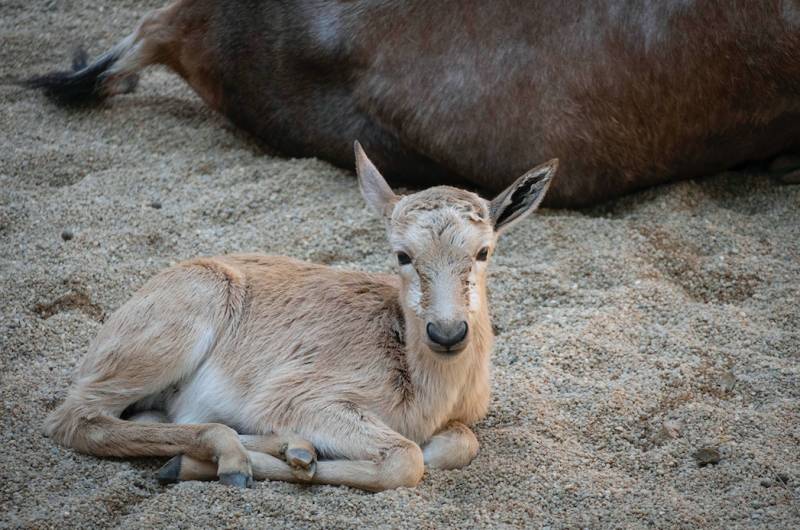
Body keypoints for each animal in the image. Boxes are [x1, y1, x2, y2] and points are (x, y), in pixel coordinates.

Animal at [43, 142, 556, 488]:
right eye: (402, 254)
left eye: (483, 250)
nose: (447, 332)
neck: (427, 388)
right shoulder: (299, 397)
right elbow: (406, 458)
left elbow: (458, 444)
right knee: (77, 419)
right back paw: (233, 460)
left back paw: (284, 448)